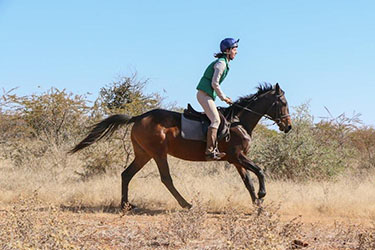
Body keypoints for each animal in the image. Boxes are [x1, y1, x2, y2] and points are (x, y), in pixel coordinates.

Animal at [70, 82, 294, 209]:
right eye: (283, 103)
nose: (288, 126)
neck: (239, 121)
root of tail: (139, 117)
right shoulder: (237, 156)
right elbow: (260, 171)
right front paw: (262, 196)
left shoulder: (236, 160)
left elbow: (248, 182)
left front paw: (258, 205)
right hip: (158, 153)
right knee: (166, 179)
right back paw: (186, 204)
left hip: (143, 154)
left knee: (126, 174)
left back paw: (126, 205)